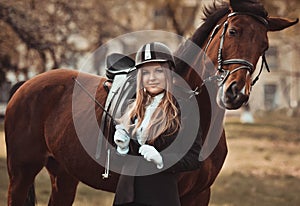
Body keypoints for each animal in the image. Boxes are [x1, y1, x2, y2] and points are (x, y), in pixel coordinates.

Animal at [4, 0, 298, 206]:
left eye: (264, 46)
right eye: (234, 31)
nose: (236, 92)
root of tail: (27, 84)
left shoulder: (200, 194)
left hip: (64, 175)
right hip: (21, 173)